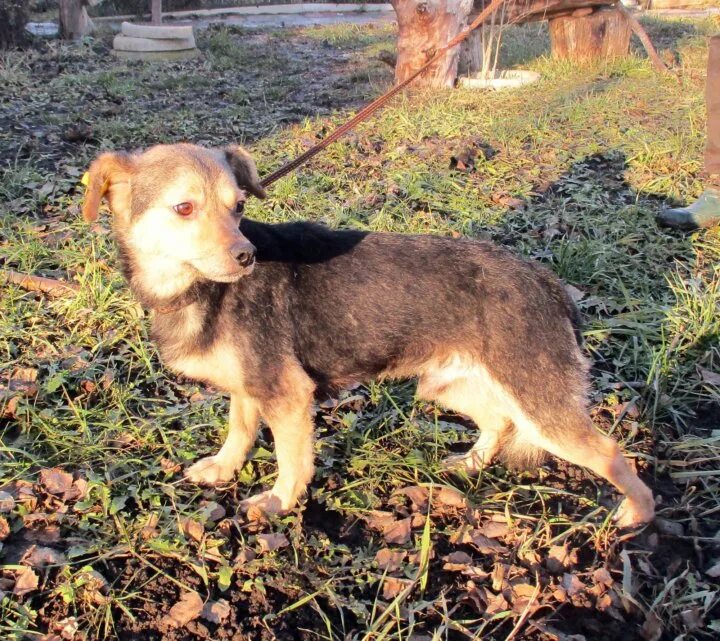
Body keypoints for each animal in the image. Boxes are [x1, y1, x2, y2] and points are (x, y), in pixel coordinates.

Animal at [81, 142, 656, 528]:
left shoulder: (288, 394)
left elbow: (292, 460)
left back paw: (637, 515)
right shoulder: (251, 387)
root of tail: (548, 282)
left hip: (540, 403)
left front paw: (278, 502)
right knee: (498, 421)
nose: (246, 256)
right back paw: (470, 462)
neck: (196, 289)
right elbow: (239, 432)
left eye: (238, 207)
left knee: (611, 453)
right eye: (184, 208)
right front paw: (224, 468)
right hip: (449, 385)